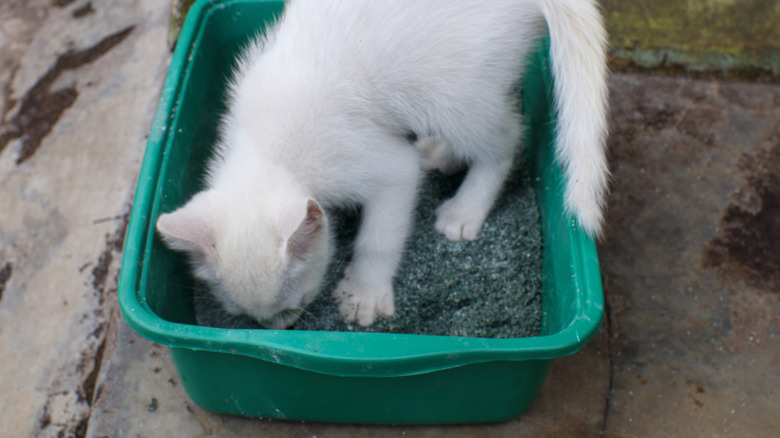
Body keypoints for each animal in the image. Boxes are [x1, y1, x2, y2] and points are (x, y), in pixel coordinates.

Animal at [157, 0, 608, 328]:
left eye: (293, 306)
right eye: (244, 317)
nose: (278, 329)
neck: (268, 153)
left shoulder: (380, 166)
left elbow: (381, 234)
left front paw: (364, 293)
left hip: (453, 92)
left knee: (507, 138)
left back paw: (465, 209)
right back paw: (442, 154)